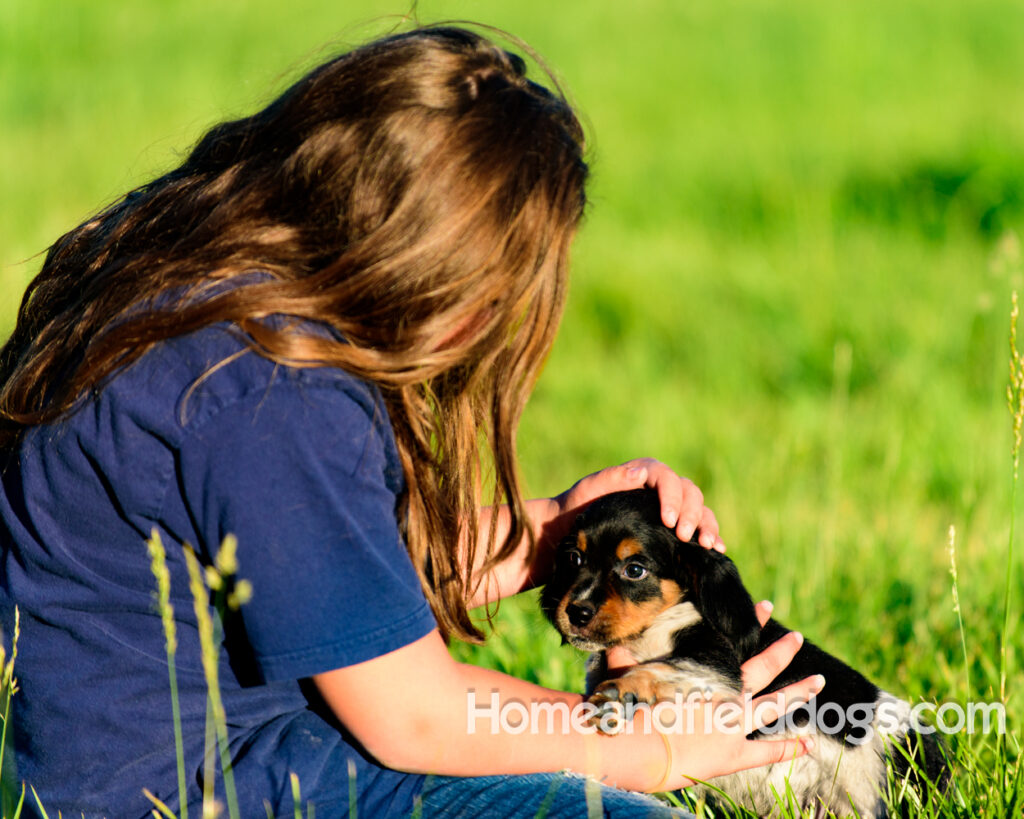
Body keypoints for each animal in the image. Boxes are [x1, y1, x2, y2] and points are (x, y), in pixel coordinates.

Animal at [540, 489, 946, 814]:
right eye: (574, 558)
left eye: (634, 569)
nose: (576, 612)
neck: (650, 633)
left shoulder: (715, 666)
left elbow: (660, 669)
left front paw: (616, 694)